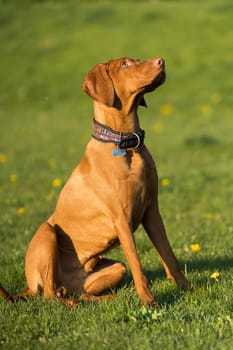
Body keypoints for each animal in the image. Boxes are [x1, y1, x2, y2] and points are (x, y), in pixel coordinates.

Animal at [0, 57, 188, 306]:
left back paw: (105, 298)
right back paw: (69, 303)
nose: (161, 61)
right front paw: (150, 302)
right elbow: (139, 267)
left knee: (77, 292)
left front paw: (189, 289)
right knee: (49, 295)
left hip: (115, 268)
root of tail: (29, 287)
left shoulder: (152, 211)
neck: (126, 145)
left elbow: (169, 257)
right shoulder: (121, 220)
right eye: (125, 64)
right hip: (46, 232)